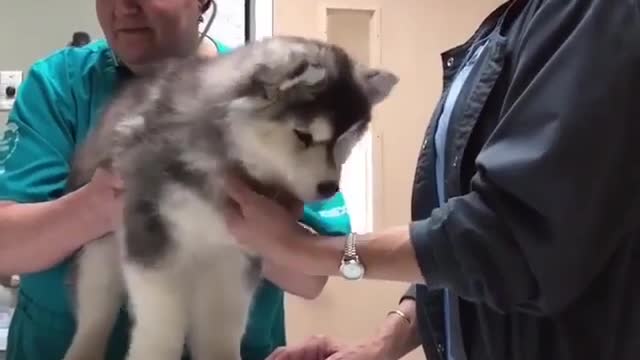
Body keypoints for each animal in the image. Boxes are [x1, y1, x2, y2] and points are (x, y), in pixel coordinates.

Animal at [62, 34, 398, 360]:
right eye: (303, 135)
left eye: (346, 140)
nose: (329, 188)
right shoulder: (152, 235)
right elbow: (162, 326)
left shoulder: (236, 257)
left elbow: (221, 327)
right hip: (99, 254)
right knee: (95, 315)